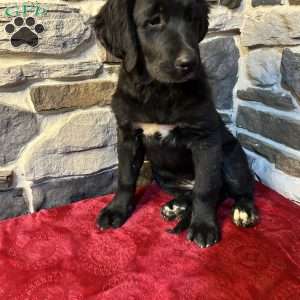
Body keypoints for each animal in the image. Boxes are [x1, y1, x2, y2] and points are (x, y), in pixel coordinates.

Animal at [94, 0, 258, 247]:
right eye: (154, 21)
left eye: (192, 19)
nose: (190, 63)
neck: (159, 89)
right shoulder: (128, 136)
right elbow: (125, 178)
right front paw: (116, 210)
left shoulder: (205, 140)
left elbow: (206, 188)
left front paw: (203, 225)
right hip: (163, 176)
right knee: (198, 191)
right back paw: (176, 205)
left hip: (232, 156)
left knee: (235, 188)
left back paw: (243, 210)